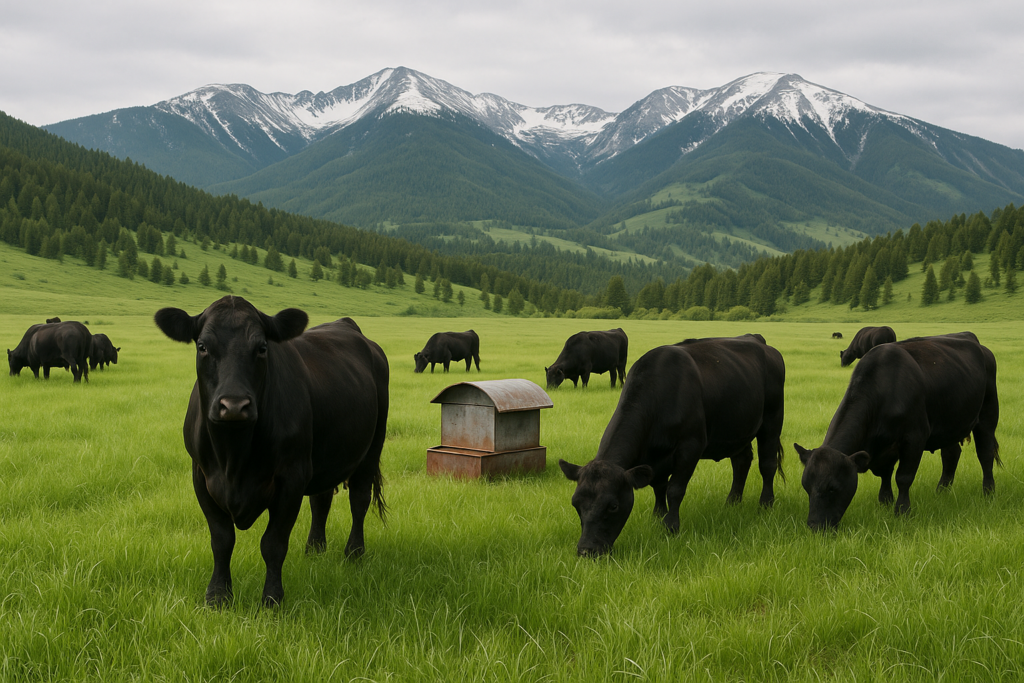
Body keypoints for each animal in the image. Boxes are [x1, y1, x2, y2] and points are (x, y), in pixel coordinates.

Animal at [154, 295, 390, 606]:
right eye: (202, 346)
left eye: (262, 348)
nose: (234, 405)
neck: (233, 458)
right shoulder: (201, 476)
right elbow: (221, 540)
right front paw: (217, 596)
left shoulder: (291, 478)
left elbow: (273, 543)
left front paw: (272, 599)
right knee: (321, 499)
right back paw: (314, 548)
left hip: (372, 447)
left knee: (359, 499)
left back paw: (354, 553)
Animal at [559, 334, 785, 556]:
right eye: (575, 503)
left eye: (612, 506)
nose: (587, 550)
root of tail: (758, 340)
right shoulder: (653, 460)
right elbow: (659, 487)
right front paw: (658, 516)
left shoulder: (691, 446)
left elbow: (675, 489)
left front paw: (671, 526)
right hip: (738, 429)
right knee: (741, 462)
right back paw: (732, 502)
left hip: (772, 419)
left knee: (767, 464)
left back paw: (766, 504)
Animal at [795, 332, 999, 531]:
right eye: (806, 487)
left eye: (832, 488)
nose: (815, 526)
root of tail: (977, 343)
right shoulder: (885, 447)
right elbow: (885, 474)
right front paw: (885, 501)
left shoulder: (914, 437)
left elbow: (903, 477)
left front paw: (902, 510)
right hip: (950, 424)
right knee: (951, 454)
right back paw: (942, 491)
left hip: (988, 415)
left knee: (985, 453)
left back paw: (988, 492)